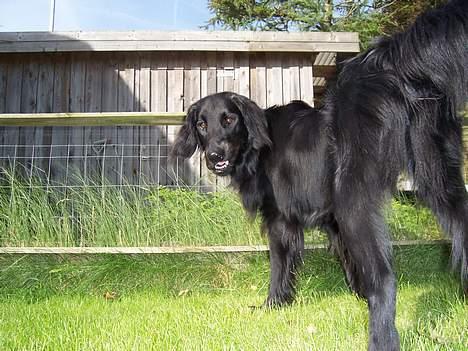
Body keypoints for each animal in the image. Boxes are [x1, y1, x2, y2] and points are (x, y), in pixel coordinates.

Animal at [172, 1, 468, 350]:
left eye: (229, 119)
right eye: (202, 124)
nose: (214, 156)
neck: (257, 147)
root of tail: (384, 67)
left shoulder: (281, 219)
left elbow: (280, 265)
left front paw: (274, 304)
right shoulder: (333, 223)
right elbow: (349, 264)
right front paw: (355, 296)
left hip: (355, 201)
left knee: (384, 277)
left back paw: (381, 337)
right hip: (441, 182)